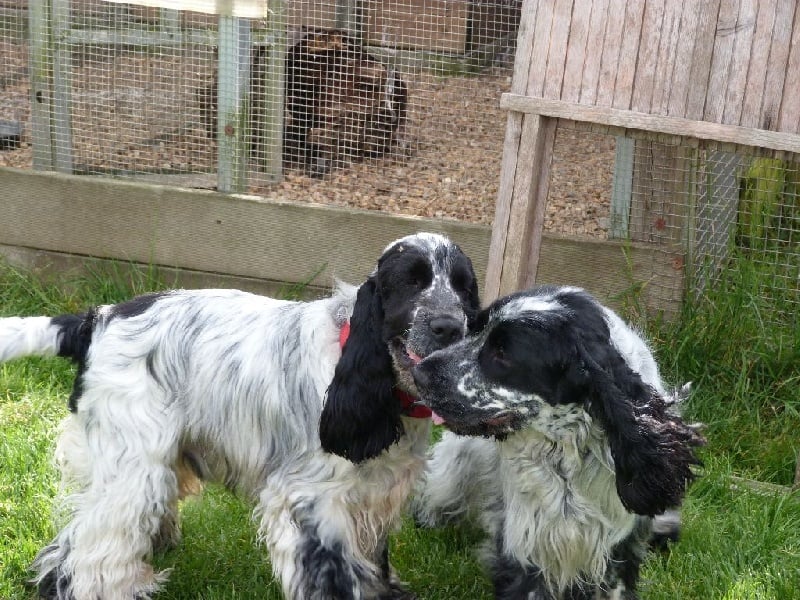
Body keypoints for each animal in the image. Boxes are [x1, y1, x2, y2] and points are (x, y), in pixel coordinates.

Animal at [0, 232, 480, 600]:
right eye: (411, 283)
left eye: (463, 289)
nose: (449, 327)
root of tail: (95, 320)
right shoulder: (311, 500)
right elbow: (334, 578)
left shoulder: (377, 494)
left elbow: (375, 566)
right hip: (132, 468)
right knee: (86, 556)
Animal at [410, 285, 704, 599]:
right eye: (475, 331)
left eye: (502, 353)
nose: (418, 374)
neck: (566, 453)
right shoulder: (525, 547)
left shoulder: (618, 550)